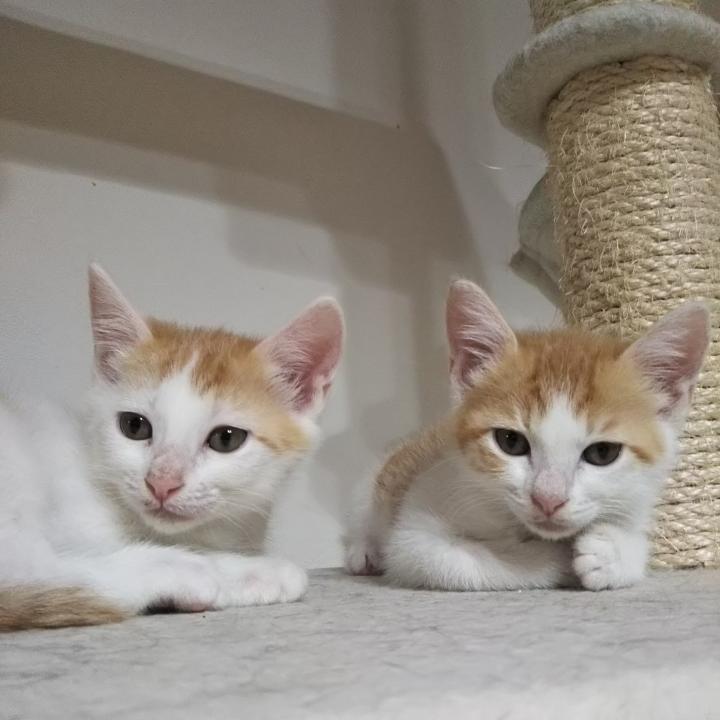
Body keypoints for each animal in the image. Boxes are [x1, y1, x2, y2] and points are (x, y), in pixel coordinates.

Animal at [0, 264, 344, 630]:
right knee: (29, 566)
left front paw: (253, 577)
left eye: (226, 439)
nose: (161, 482)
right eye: (134, 426)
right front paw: (244, 569)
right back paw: (181, 571)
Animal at [344, 279, 708, 591]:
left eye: (603, 453)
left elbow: (637, 544)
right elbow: (459, 560)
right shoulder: (418, 530)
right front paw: (554, 558)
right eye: (511, 442)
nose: (548, 500)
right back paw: (363, 551)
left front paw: (612, 553)